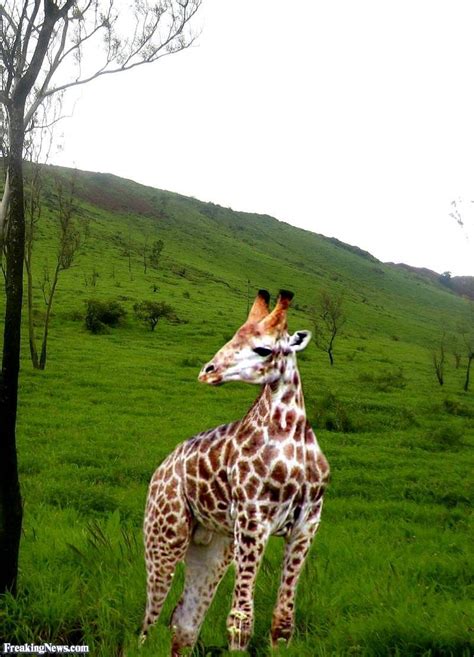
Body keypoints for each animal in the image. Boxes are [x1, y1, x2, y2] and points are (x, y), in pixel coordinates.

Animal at [141, 290, 330, 652]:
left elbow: (283, 621)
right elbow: (240, 620)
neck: (291, 435)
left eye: (263, 349)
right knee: (150, 618)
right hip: (166, 535)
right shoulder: (253, 517)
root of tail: (159, 471)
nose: (208, 371)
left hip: (213, 545)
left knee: (183, 620)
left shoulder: (308, 522)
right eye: (233, 336)